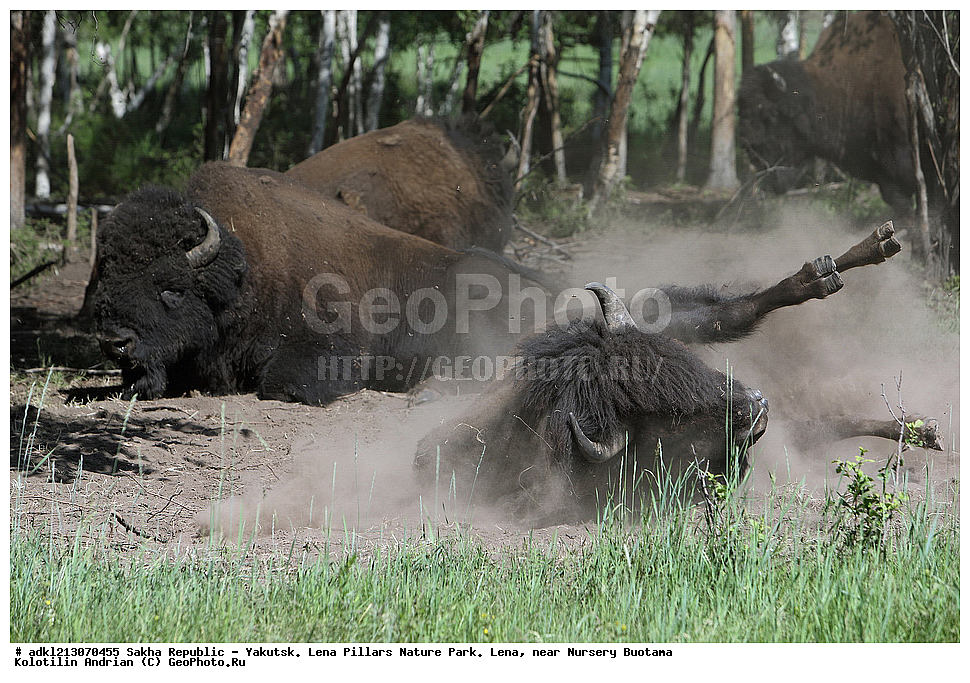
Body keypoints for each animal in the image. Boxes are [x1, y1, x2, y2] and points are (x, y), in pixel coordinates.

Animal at [92, 161, 543, 404]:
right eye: (106, 279)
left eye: (171, 288)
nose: (115, 342)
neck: (246, 273)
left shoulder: (330, 348)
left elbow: (278, 385)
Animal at [414, 222, 919, 521]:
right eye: (669, 418)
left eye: (684, 364)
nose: (755, 407)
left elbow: (722, 314)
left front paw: (826, 271)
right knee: (813, 430)